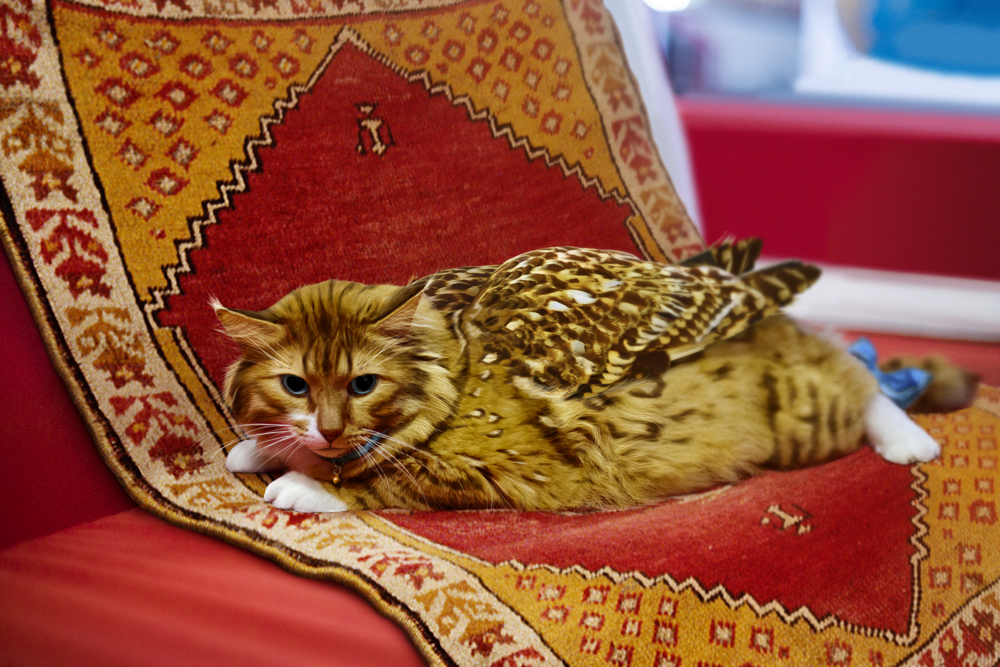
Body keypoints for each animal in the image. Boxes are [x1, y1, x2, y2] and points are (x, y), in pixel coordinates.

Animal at [213, 241, 961, 513]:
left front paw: (305, 481)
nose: (327, 428)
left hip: (794, 406)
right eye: (295, 385)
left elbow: (389, 479)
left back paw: (908, 438)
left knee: (851, 371)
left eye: (363, 385)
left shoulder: (519, 466)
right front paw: (264, 447)